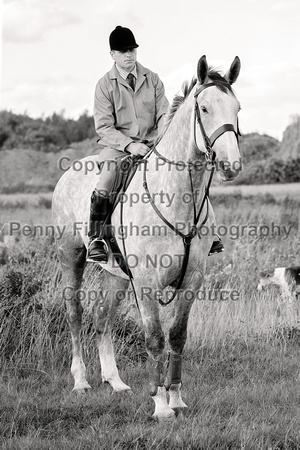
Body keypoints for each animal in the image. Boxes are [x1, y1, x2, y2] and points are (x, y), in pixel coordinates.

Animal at [52, 55, 241, 418]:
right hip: (72, 256)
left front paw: (177, 398)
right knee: (75, 313)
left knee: (103, 317)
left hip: (117, 275)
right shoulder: (146, 281)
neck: (178, 197)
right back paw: (81, 381)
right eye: (205, 108)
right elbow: (154, 337)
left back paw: (115, 381)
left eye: (237, 107)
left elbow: (177, 336)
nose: (231, 166)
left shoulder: (192, 278)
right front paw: (161, 405)